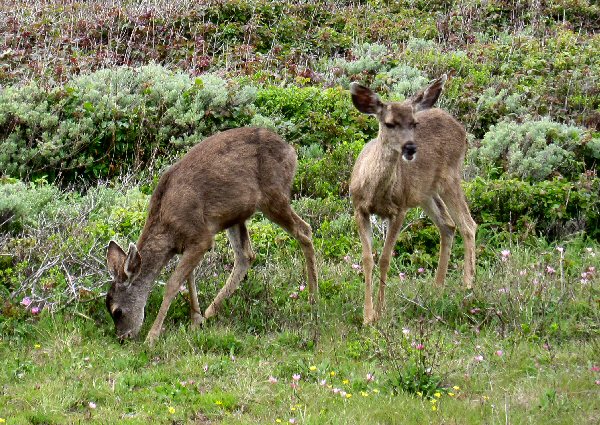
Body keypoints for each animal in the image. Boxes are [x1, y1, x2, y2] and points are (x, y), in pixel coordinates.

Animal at [106, 126, 318, 344]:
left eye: (117, 311)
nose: (123, 337)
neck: (168, 231)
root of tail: (291, 150)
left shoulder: (201, 237)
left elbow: (173, 284)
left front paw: (152, 337)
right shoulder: (188, 245)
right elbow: (189, 279)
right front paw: (195, 320)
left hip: (274, 195)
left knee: (304, 230)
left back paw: (313, 298)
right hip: (236, 216)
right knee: (246, 255)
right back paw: (209, 313)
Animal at [350, 75, 476, 324]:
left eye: (414, 124)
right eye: (389, 123)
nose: (410, 147)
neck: (375, 191)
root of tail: (460, 128)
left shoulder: (399, 209)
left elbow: (385, 258)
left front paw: (380, 311)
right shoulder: (359, 208)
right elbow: (368, 258)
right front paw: (367, 316)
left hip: (450, 177)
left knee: (468, 224)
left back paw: (467, 285)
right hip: (425, 193)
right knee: (448, 225)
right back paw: (437, 287)